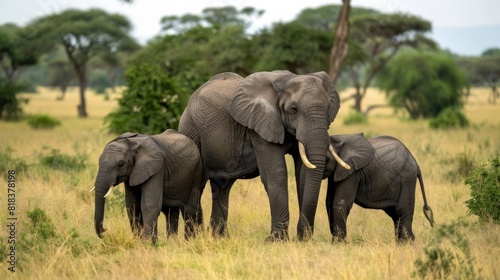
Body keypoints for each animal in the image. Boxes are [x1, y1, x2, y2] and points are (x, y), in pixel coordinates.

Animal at [179, 70, 348, 241]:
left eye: (328, 108)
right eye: (293, 109)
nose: (301, 236)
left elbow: (303, 174)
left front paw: (301, 238)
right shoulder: (261, 127)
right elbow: (276, 175)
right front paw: (277, 240)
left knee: (222, 187)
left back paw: (220, 238)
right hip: (191, 130)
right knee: (198, 185)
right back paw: (195, 238)